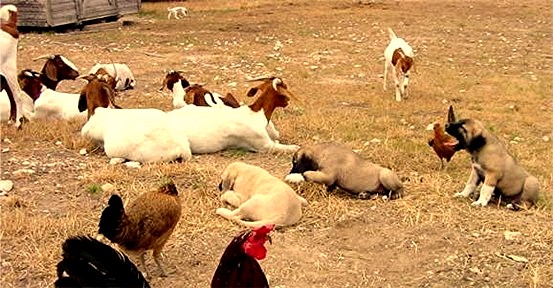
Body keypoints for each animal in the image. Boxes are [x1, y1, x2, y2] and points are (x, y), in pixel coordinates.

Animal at [167, 76, 300, 153]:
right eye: (285, 87)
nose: (288, 101)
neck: (255, 114)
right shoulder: (264, 145)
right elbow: (287, 148)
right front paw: (295, 147)